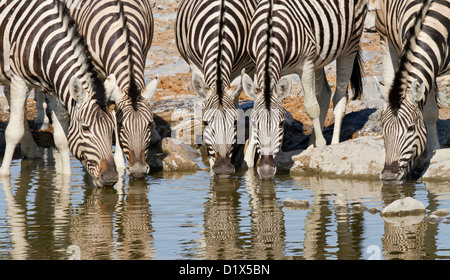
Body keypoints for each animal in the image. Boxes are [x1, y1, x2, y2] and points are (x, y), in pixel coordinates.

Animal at [0, 0, 118, 188]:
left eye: (112, 128)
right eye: (86, 128)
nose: (111, 178)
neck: (44, 44)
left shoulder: (54, 89)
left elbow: (62, 139)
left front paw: (65, 179)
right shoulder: (19, 80)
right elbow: (13, 132)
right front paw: (4, 176)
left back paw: (31, 150)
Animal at [59, 0, 159, 179]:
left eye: (148, 124)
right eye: (120, 125)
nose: (138, 170)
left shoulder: (144, 52)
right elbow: (110, 109)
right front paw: (119, 163)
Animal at [177, 0, 260, 178]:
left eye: (234, 122)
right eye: (205, 122)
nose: (223, 169)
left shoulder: (245, 66)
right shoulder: (196, 66)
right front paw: (211, 165)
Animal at [243, 0, 366, 179]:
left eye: (281, 124)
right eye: (254, 122)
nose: (266, 171)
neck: (270, 32)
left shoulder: (306, 64)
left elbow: (311, 107)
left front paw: (321, 146)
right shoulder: (256, 66)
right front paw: (249, 160)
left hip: (350, 45)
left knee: (339, 98)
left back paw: (333, 145)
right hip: (319, 59)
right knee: (324, 94)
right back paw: (310, 147)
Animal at [376, 0, 446, 183]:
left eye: (411, 129)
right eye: (382, 128)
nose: (389, 176)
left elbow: (430, 113)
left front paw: (434, 152)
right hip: (384, 35)